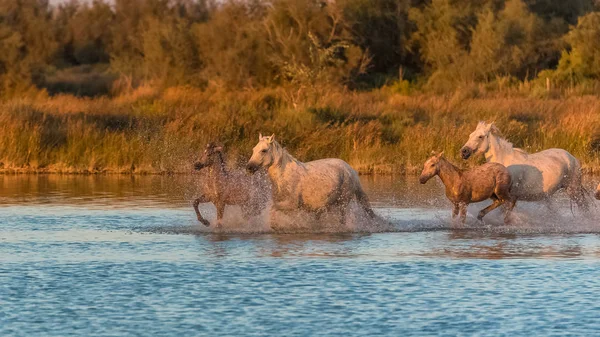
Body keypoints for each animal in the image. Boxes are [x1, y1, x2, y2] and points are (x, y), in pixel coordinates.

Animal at [245, 134, 376, 226]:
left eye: (264, 150)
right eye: (253, 149)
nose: (249, 168)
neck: (284, 176)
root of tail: (351, 170)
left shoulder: (291, 205)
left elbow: (272, 211)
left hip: (342, 202)